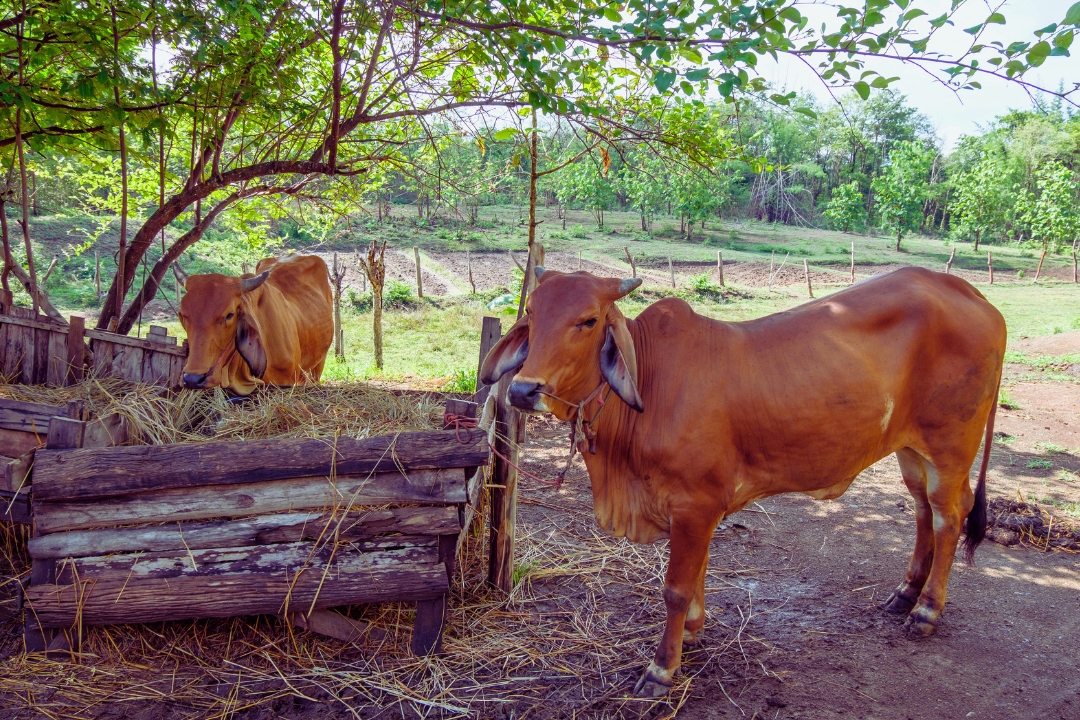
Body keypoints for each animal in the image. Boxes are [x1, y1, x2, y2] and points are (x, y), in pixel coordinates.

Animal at [480, 266, 1005, 698]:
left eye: (588, 321)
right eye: (532, 312)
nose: (524, 390)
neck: (652, 386)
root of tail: (973, 295)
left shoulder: (696, 504)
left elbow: (676, 587)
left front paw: (662, 669)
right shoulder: (695, 510)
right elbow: (696, 576)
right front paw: (692, 633)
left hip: (950, 449)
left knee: (949, 516)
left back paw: (927, 611)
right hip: (911, 451)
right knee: (922, 511)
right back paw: (905, 593)